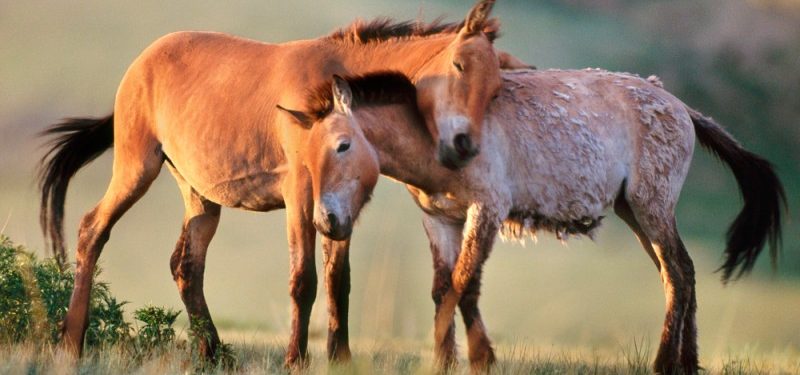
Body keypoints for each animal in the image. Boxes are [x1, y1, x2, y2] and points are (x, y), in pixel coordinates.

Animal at [36, 1, 512, 368]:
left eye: (494, 88)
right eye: (459, 66)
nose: (465, 145)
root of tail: (142, 63)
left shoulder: (339, 206)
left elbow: (339, 281)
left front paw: (340, 359)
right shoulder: (301, 194)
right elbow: (304, 280)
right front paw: (295, 360)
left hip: (199, 195)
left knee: (186, 265)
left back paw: (214, 354)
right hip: (137, 168)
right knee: (92, 229)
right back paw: (71, 343)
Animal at [282, 70, 788, 374]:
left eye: (343, 145)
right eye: (307, 154)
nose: (326, 221)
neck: (439, 130)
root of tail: (681, 107)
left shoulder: (486, 212)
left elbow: (464, 286)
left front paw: (480, 358)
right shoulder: (440, 220)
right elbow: (444, 289)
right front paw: (450, 360)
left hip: (652, 208)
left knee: (679, 275)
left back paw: (665, 363)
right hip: (636, 212)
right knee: (679, 274)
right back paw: (686, 362)